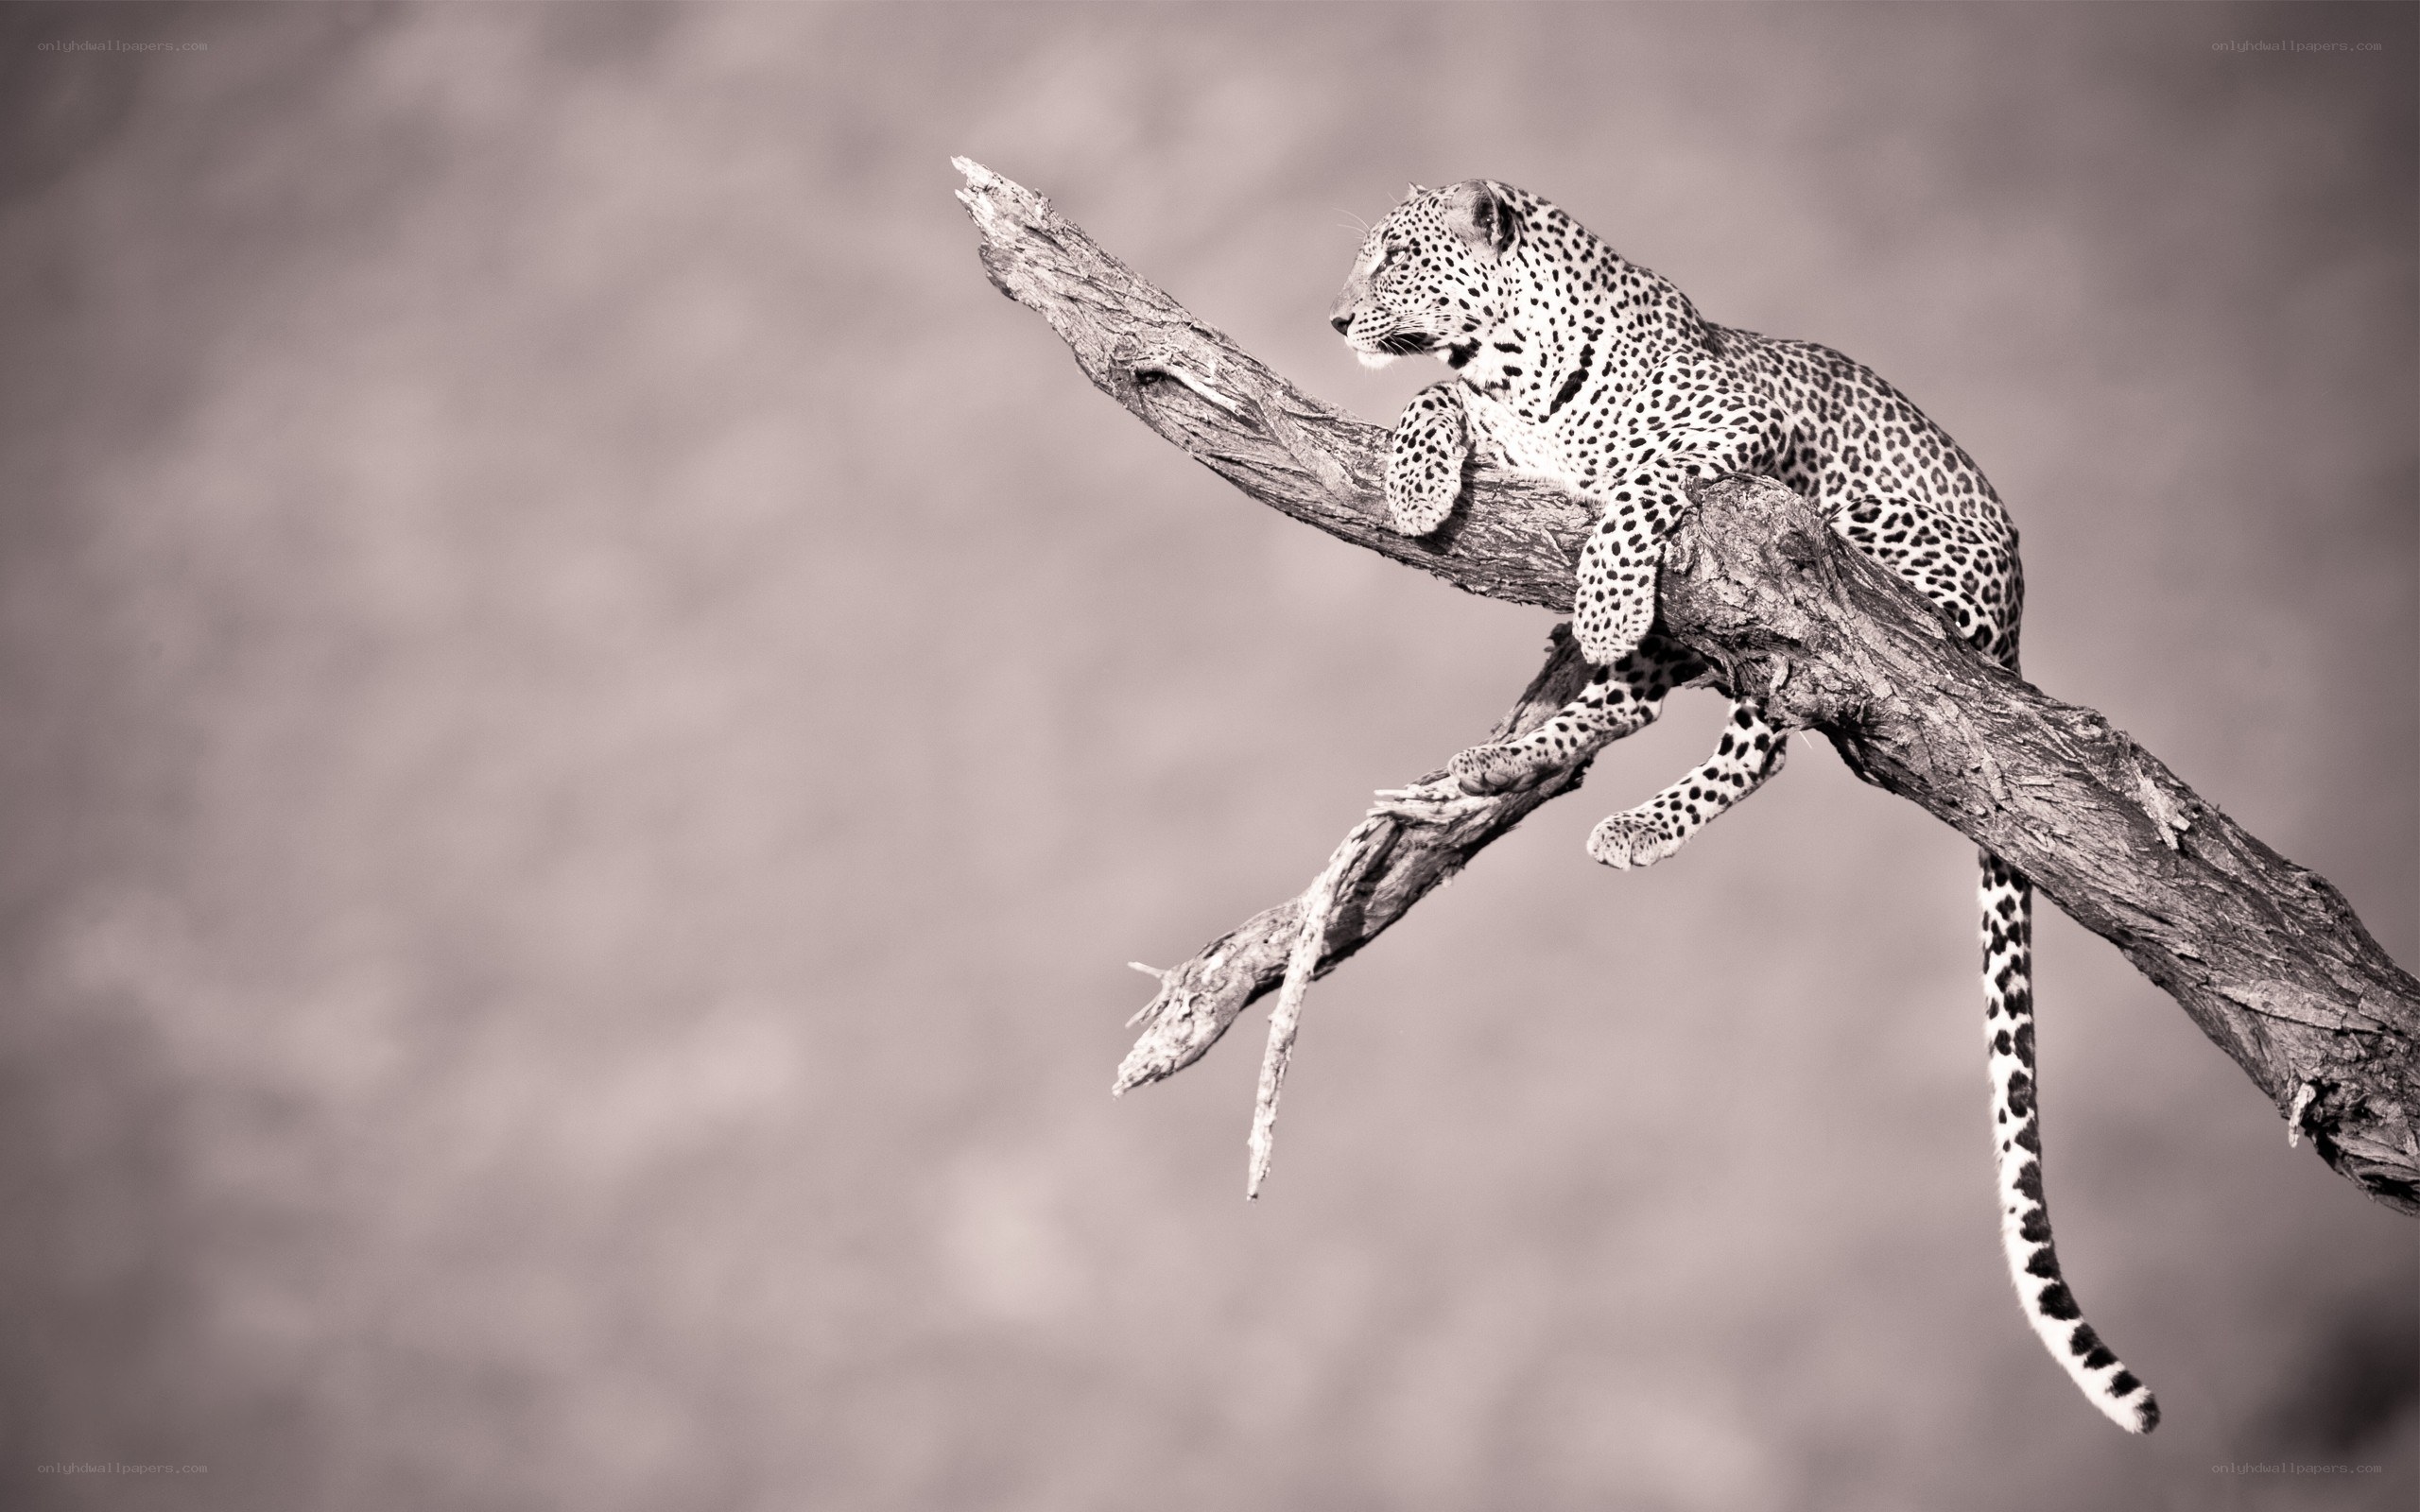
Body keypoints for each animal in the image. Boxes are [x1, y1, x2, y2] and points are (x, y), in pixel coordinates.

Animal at [1330, 179, 2157, 1435]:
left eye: (1395, 258)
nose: (1333, 319)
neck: (1513, 367)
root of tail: (2016, 621)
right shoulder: (1500, 424)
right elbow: (1432, 398)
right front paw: (1420, 484)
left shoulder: (1728, 434)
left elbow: (1634, 483)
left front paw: (1602, 591)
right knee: (1635, 707)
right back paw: (1495, 764)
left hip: (1834, 574)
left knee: (1764, 730)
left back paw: (1624, 799)